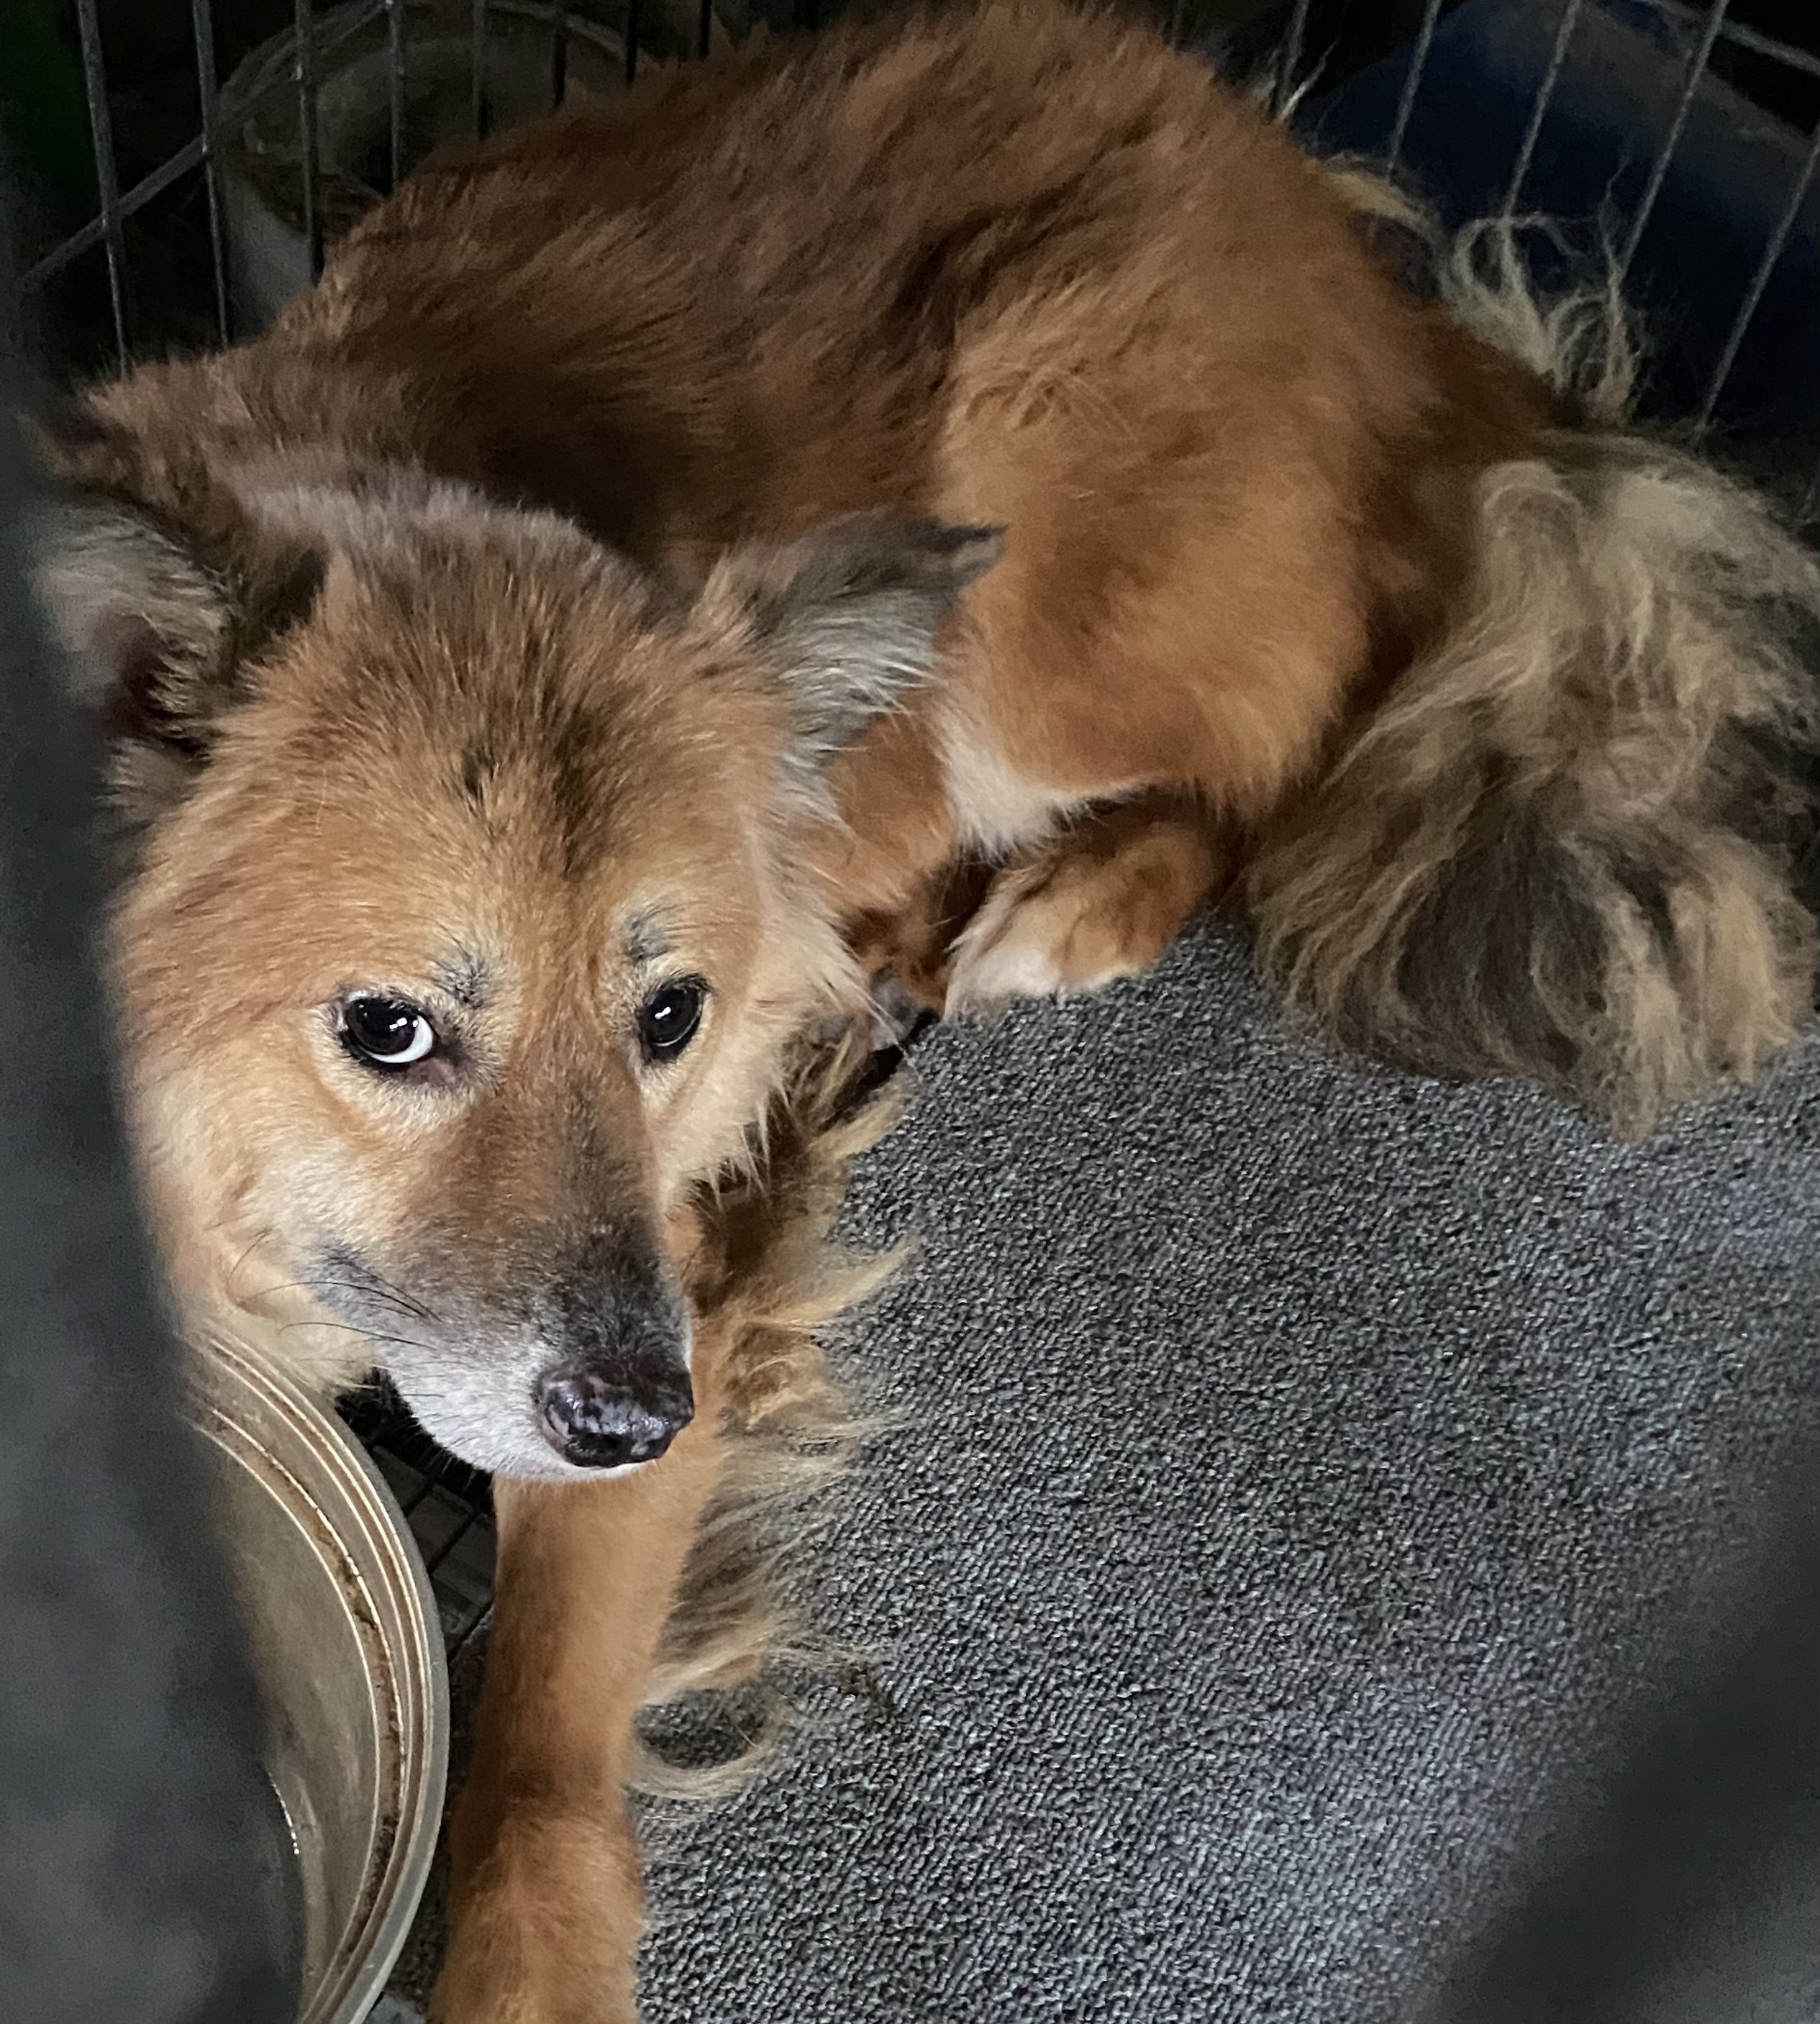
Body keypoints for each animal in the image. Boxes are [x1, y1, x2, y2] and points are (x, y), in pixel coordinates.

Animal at [26, 1, 1819, 2015]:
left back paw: (1068, 898)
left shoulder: (662, 1300)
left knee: (1298, 733)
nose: (638, 1419)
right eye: (388, 1031)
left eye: (665, 1020)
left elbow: (549, 1729)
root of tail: (1320, 222)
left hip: (1034, 572)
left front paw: (531, 1947)